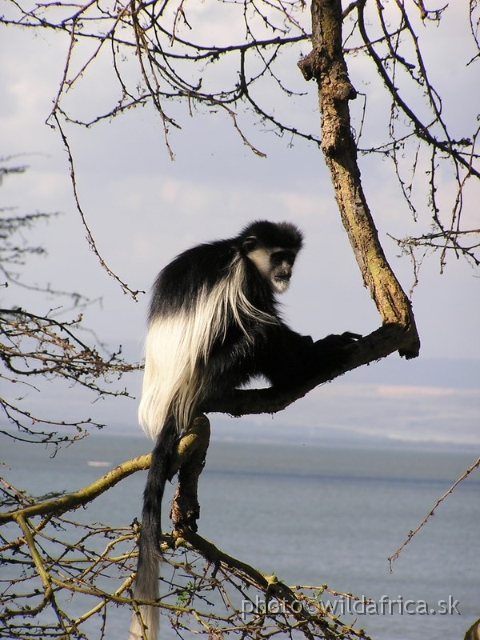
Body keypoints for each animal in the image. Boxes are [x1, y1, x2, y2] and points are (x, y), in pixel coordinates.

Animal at [127, 221, 356, 640]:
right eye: (278, 257)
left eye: (290, 257)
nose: (287, 271)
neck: (241, 252)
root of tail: (171, 397)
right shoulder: (246, 281)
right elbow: (267, 321)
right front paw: (320, 348)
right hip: (216, 369)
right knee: (261, 333)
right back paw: (306, 367)